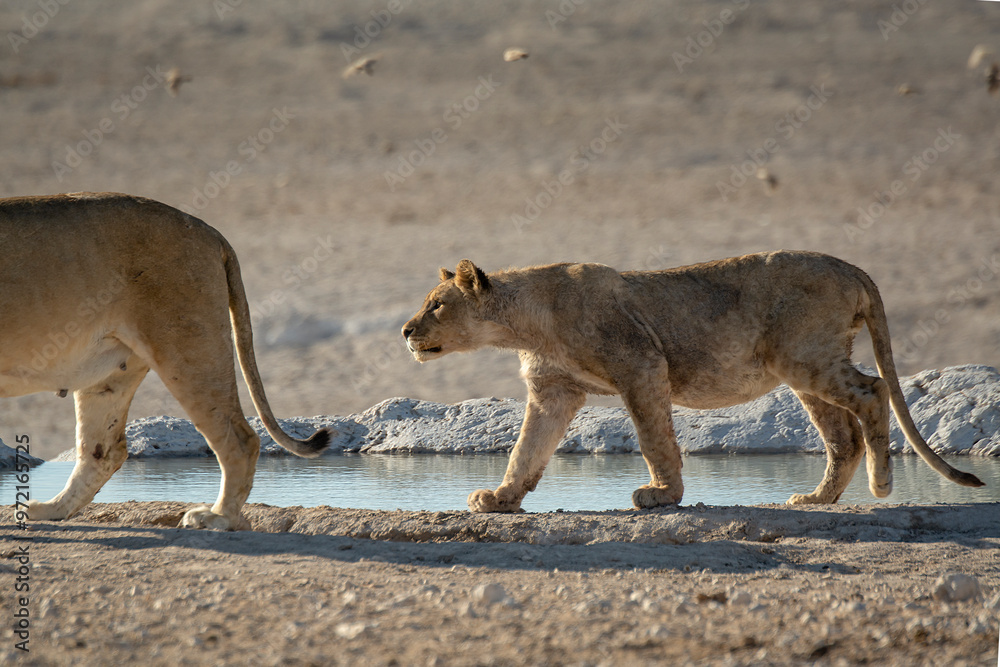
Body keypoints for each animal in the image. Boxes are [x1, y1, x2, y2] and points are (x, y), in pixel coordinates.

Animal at [1, 193, 330, 530]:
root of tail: (211, 233)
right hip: (110, 372)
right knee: (104, 451)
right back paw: (49, 509)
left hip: (187, 346)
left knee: (242, 439)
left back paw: (217, 517)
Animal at [402, 252, 984, 513]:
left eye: (437, 306)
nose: (406, 330)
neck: (526, 321)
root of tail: (850, 266)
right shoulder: (553, 391)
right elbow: (527, 449)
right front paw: (500, 498)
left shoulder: (641, 366)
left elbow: (654, 438)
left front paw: (663, 495)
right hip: (799, 368)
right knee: (842, 435)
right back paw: (817, 498)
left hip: (804, 356)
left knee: (874, 392)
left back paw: (882, 483)